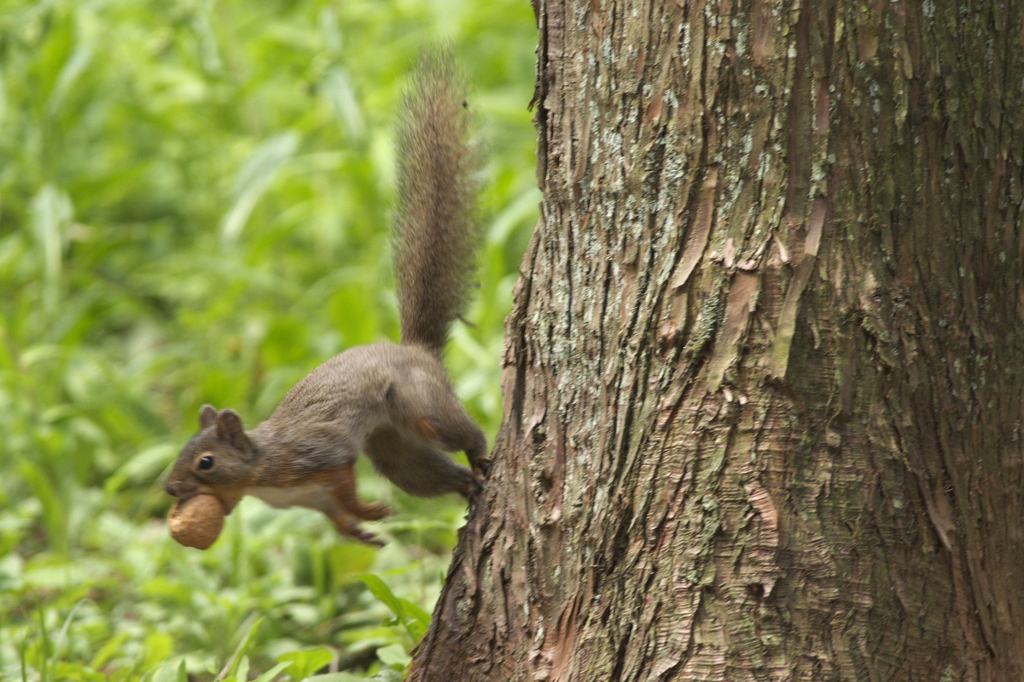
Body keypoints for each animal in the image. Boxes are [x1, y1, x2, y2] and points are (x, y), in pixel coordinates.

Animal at [161, 50, 489, 544]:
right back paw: (468, 484)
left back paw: (481, 453)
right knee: (429, 474)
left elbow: (344, 484)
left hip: (422, 404)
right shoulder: (310, 499)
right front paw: (360, 532)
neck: (262, 473)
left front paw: (370, 510)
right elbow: (336, 516)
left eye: (206, 462)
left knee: (459, 432)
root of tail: (414, 349)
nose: (169, 488)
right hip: (397, 451)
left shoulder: (321, 457)